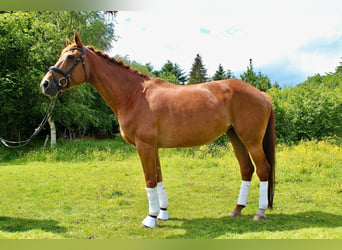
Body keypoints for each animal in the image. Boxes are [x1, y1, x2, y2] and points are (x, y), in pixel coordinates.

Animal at [40, 32, 276, 228]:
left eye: (71, 58)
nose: (45, 84)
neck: (134, 95)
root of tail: (262, 94)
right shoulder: (153, 147)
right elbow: (159, 178)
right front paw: (162, 213)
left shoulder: (144, 146)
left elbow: (150, 180)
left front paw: (150, 218)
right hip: (235, 137)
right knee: (247, 169)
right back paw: (237, 209)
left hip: (252, 141)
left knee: (263, 169)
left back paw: (260, 212)